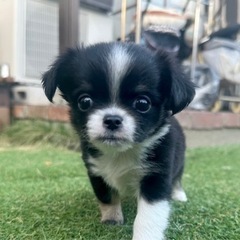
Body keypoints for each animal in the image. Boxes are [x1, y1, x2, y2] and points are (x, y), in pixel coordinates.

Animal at [41, 42, 195, 240]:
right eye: (85, 101)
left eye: (143, 103)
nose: (112, 120)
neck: (120, 153)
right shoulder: (96, 172)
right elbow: (107, 197)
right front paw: (112, 219)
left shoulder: (156, 177)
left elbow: (148, 216)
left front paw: (144, 236)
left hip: (180, 162)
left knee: (177, 178)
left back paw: (179, 194)